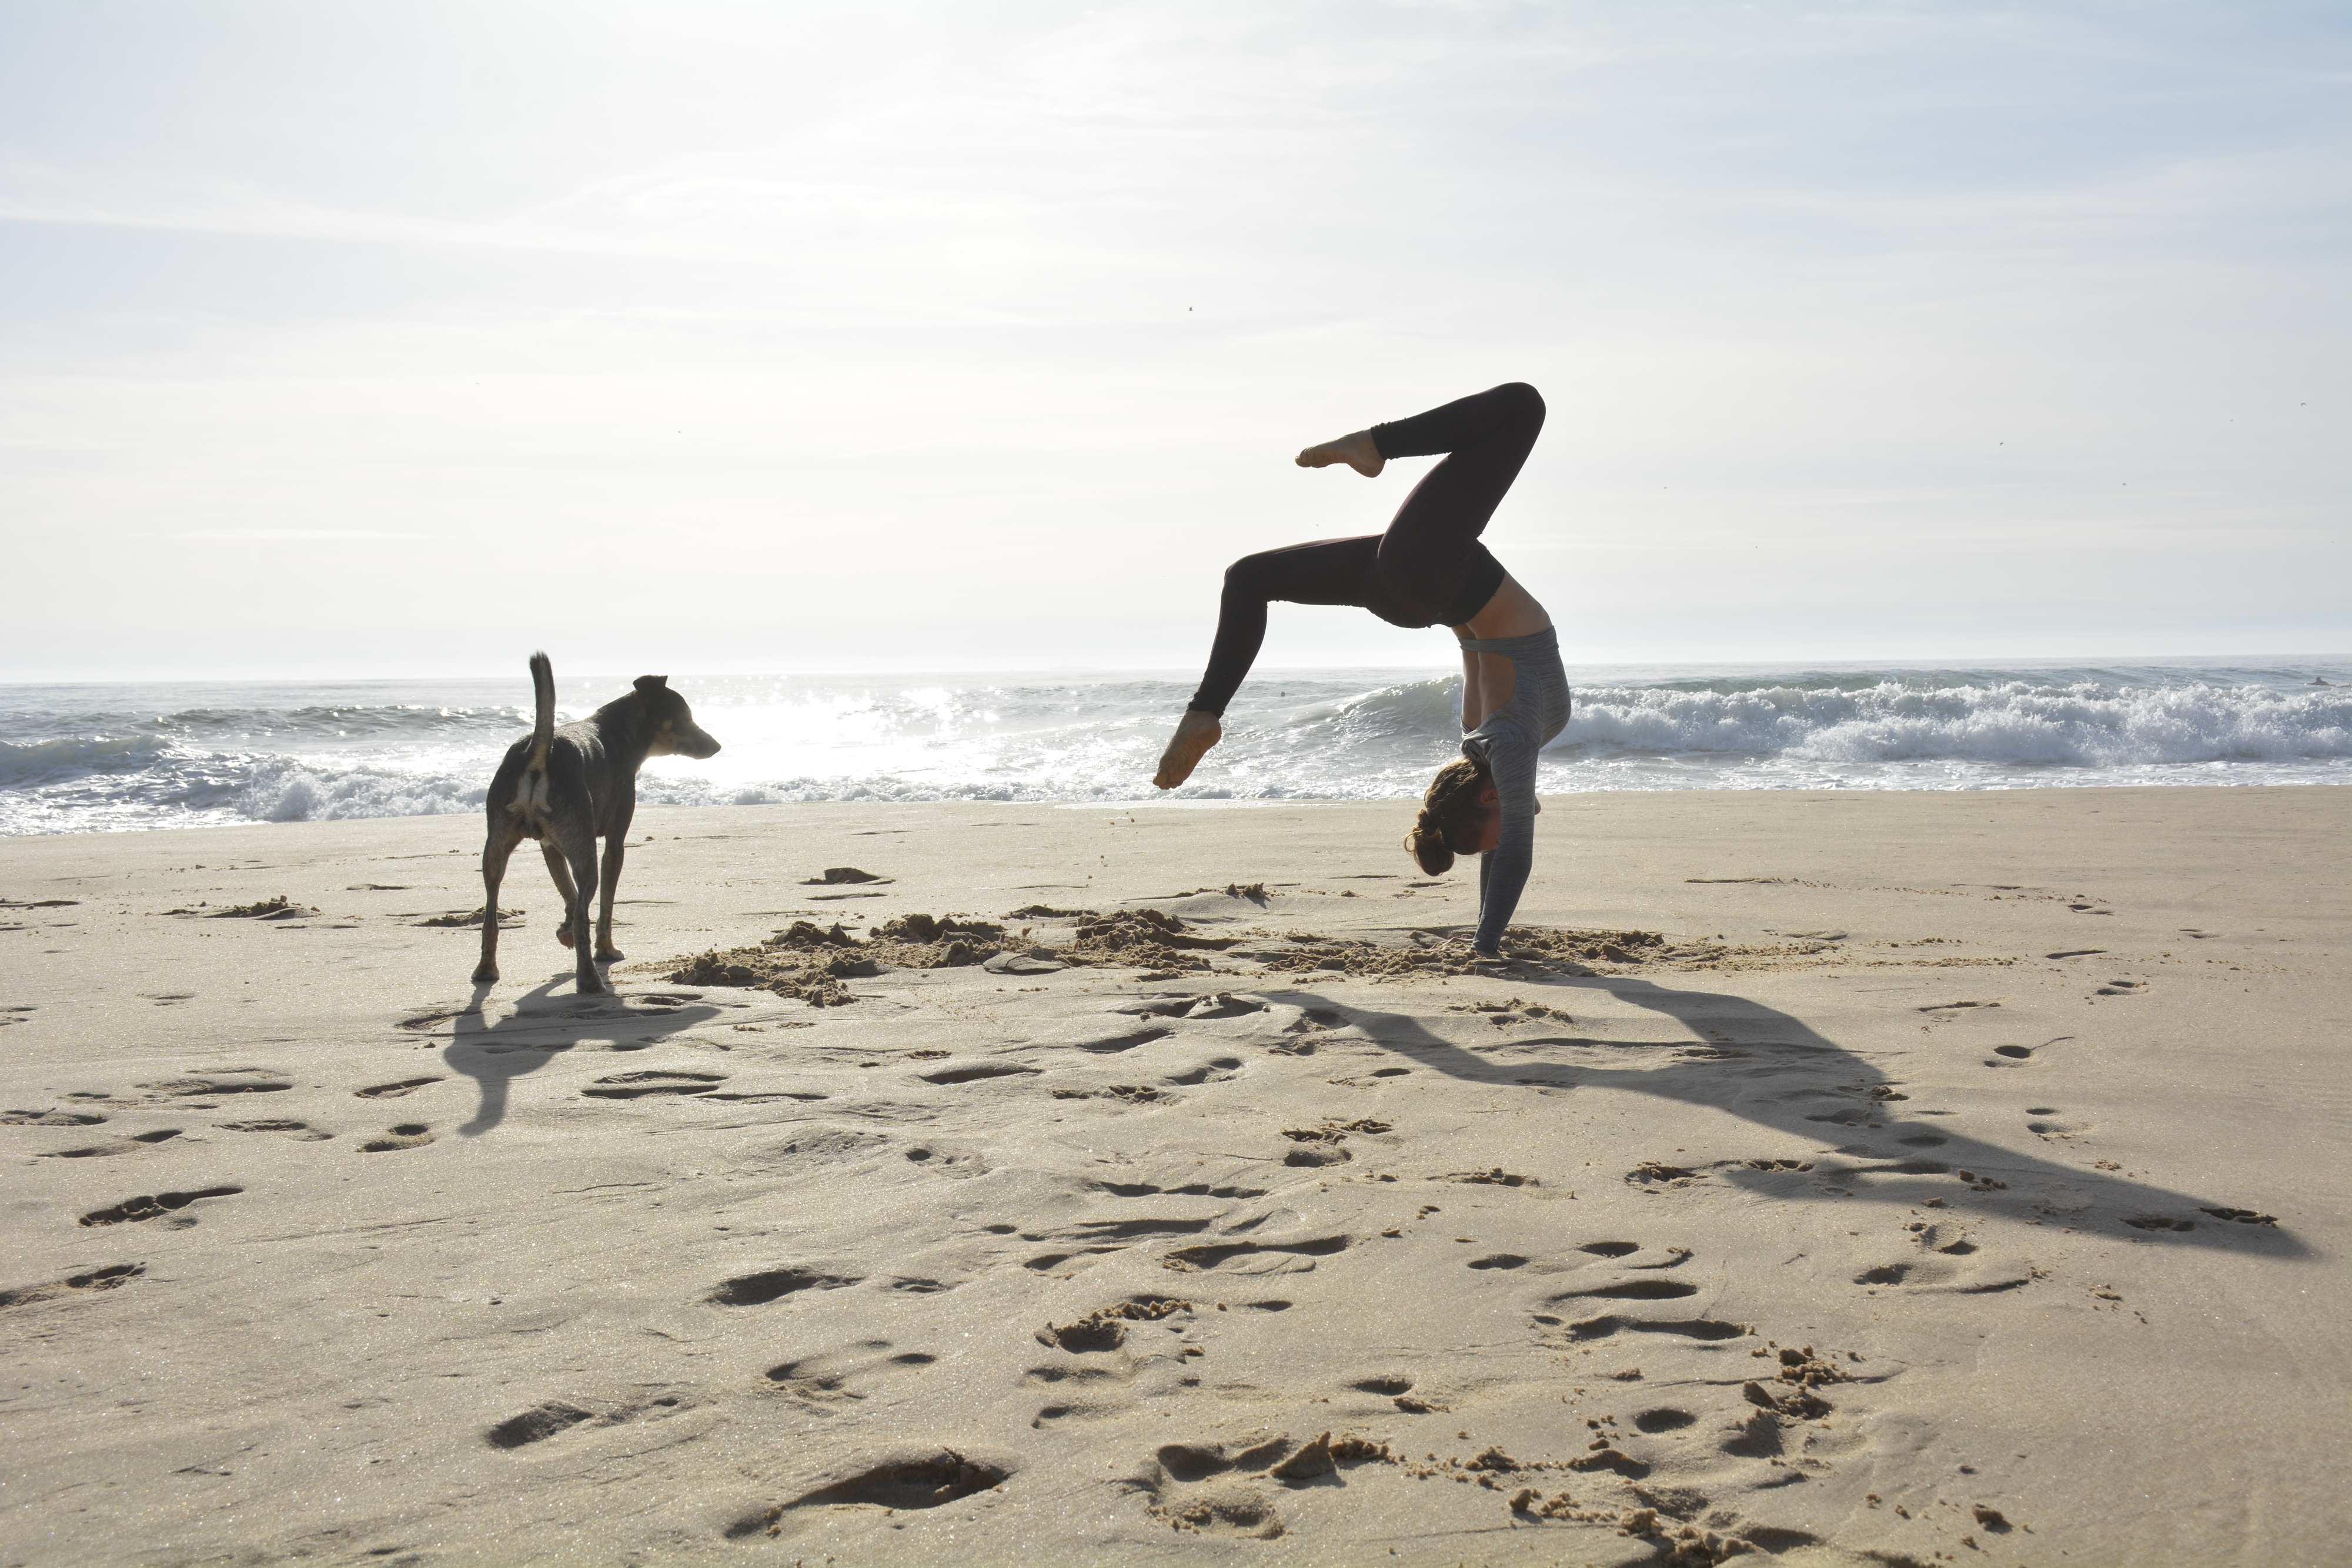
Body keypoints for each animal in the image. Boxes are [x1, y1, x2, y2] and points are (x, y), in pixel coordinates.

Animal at [470, 658, 720, 1001]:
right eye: (685, 717)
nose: (717, 746)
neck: (620, 733)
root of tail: (539, 754)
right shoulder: (614, 841)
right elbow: (603, 905)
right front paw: (605, 950)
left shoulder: (551, 845)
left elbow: (569, 892)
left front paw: (564, 931)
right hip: (585, 849)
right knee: (584, 911)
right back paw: (588, 978)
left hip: (496, 846)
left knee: (491, 913)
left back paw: (486, 969)